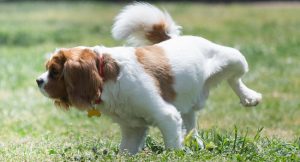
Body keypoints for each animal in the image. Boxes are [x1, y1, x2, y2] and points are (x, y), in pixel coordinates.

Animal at [35, 2, 262, 154]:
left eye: (54, 71)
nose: (38, 81)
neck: (105, 76)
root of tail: (175, 38)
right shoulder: (132, 129)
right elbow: (126, 151)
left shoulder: (167, 116)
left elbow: (172, 147)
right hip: (187, 104)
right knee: (191, 126)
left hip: (234, 58)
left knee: (235, 78)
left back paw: (249, 97)